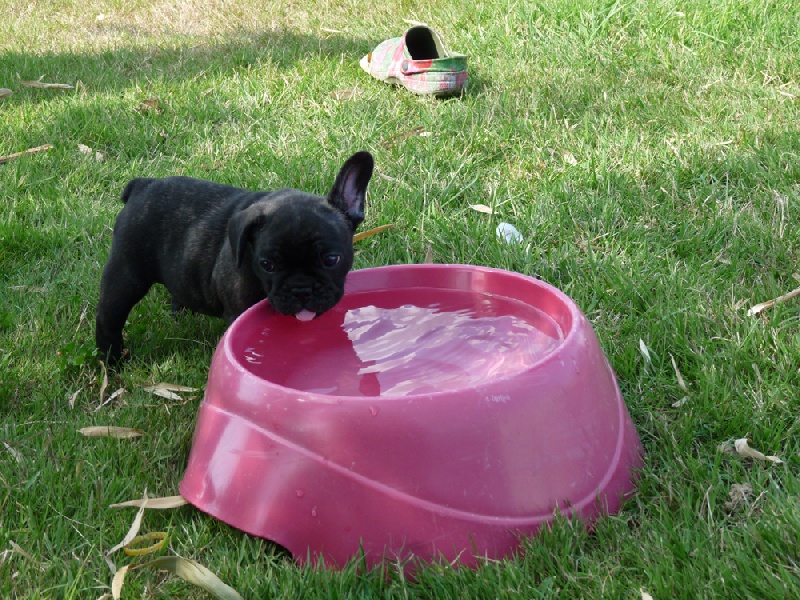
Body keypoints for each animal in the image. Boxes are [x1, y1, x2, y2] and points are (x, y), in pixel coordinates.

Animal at [94, 152, 376, 364]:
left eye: (331, 259)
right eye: (267, 265)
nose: (301, 289)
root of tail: (143, 184)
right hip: (127, 275)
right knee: (109, 317)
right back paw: (112, 362)